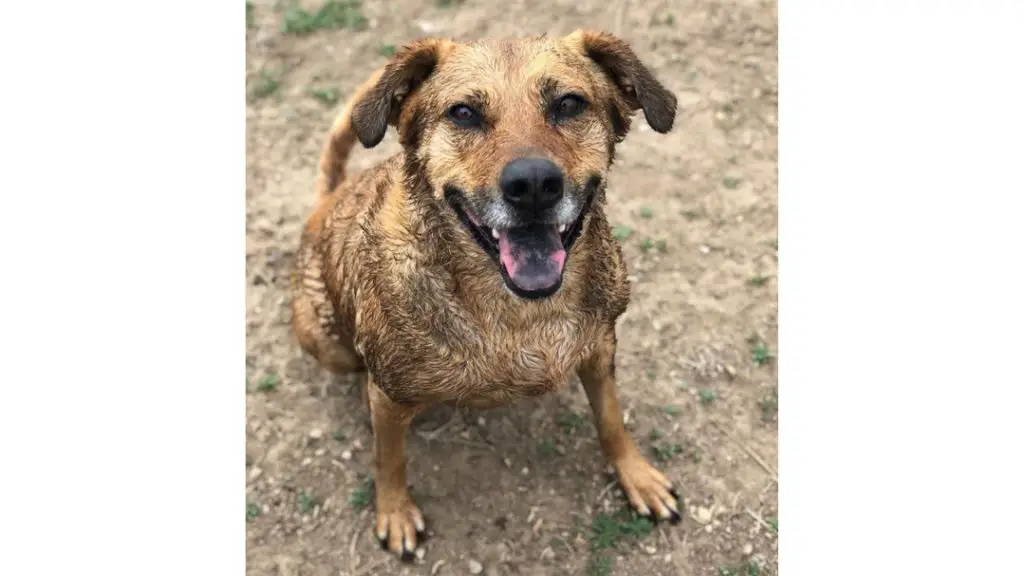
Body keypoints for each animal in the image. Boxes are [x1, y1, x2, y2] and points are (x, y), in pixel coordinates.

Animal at [292, 30, 679, 557]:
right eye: (463, 113)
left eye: (569, 103)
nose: (533, 185)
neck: (521, 313)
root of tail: (327, 199)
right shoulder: (390, 399)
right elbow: (389, 459)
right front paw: (394, 511)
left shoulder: (600, 350)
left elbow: (611, 419)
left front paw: (637, 476)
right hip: (318, 335)